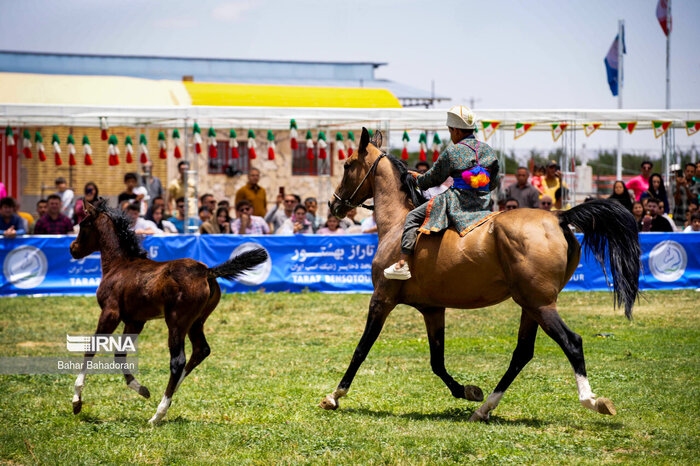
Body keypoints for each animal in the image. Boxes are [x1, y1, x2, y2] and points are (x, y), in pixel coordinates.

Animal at [70, 198, 268, 424]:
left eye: (83, 225)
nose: (72, 248)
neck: (119, 265)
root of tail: (206, 272)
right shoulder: (135, 320)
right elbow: (120, 353)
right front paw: (141, 389)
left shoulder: (110, 313)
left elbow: (91, 349)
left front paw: (76, 400)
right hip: (196, 322)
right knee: (201, 350)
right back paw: (168, 399)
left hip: (176, 321)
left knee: (178, 361)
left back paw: (158, 414)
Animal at [322, 128, 640, 422]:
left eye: (347, 165)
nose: (333, 204)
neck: (398, 223)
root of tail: (558, 216)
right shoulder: (432, 309)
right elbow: (437, 361)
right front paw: (468, 391)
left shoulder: (382, 299)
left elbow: (361, 349)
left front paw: (335, 395)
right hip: (531, 306)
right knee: (522, 353)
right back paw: (484, 408)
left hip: (540, 305)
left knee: (571, 342)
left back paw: (591, 400)